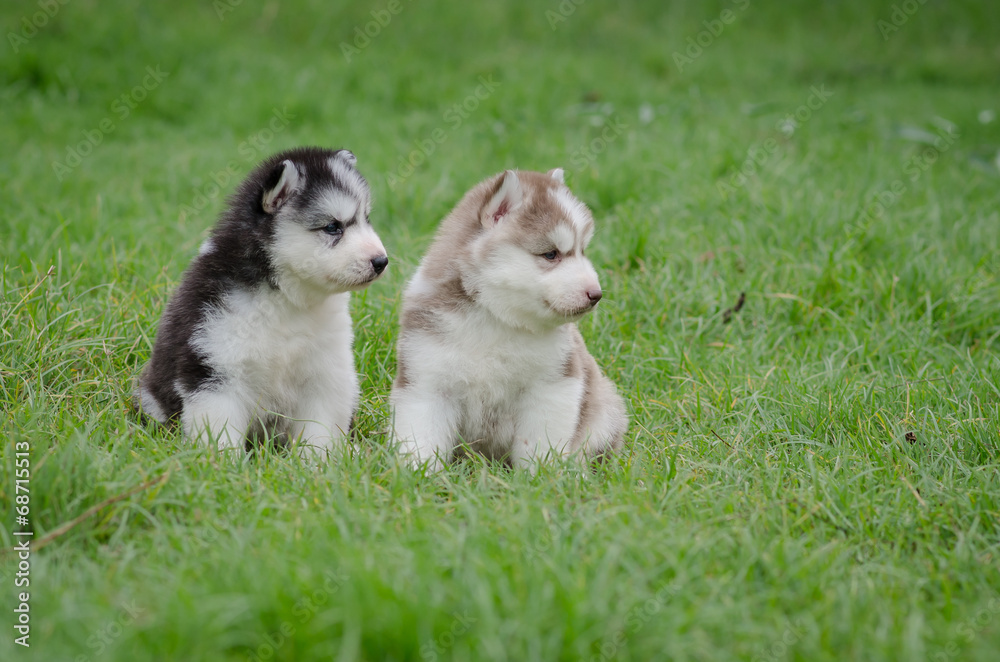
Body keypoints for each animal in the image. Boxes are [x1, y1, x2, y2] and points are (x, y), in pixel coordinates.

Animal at [139, 148, 388, 462]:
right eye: (333, 227)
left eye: (366, 219)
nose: (381, 261)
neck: (287, 300)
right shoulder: (216, 370)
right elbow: (219, 430)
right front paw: (222, 465)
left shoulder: (326, 373)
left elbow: (320, 431)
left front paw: (317, 464)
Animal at [388, 171, 624, 472]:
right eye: (551, 254)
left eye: (582, 251)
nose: (596, 295)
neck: (495, 316)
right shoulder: (427, 382)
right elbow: (421, 437)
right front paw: (418, 474)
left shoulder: (552, 386)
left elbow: (539, 444)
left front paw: (539, 477)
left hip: (604, 411)